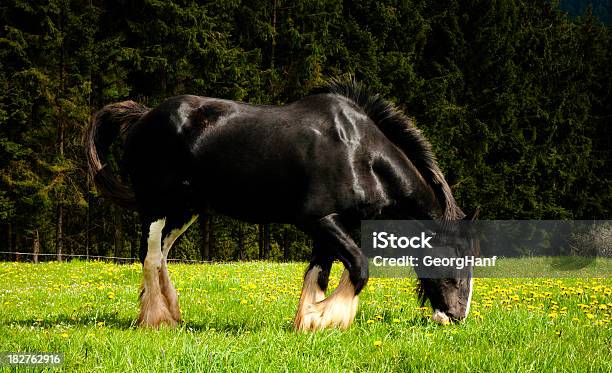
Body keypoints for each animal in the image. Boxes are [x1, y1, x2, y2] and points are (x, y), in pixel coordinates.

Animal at [86, 78, 470, 328]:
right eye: (457, 262)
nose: (456, 317)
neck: (359, 152)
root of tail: (143, 116)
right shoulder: (318, 219)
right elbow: (358, 268)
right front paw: (325, 317)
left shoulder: (331, 226)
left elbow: (319, 273)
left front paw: (307, 320)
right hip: (157, 205)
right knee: (150, 257)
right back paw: (158, 319)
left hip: (185, 209)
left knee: (162, 256)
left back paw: (172, 312)